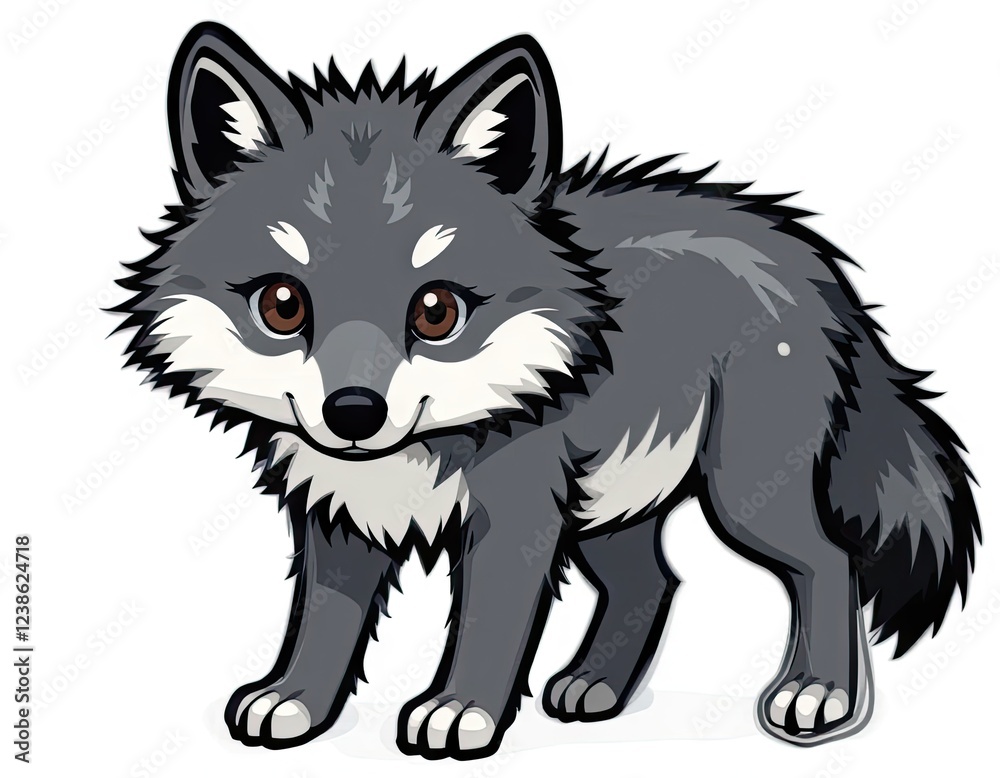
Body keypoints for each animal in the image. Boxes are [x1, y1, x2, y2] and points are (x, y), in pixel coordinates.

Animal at [113, 22, 981, 759]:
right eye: (283, 305)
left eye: (436, 311)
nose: (353, 414)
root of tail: (804, 249)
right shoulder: (341, 514)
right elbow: (323, 625)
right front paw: (294, 701)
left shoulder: (516, 516)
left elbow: (489, 627)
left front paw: (460, 711)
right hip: (608, 511)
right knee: (655, 580)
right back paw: (597, 687)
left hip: (742, 495)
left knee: (829, 561)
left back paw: (818, 693)